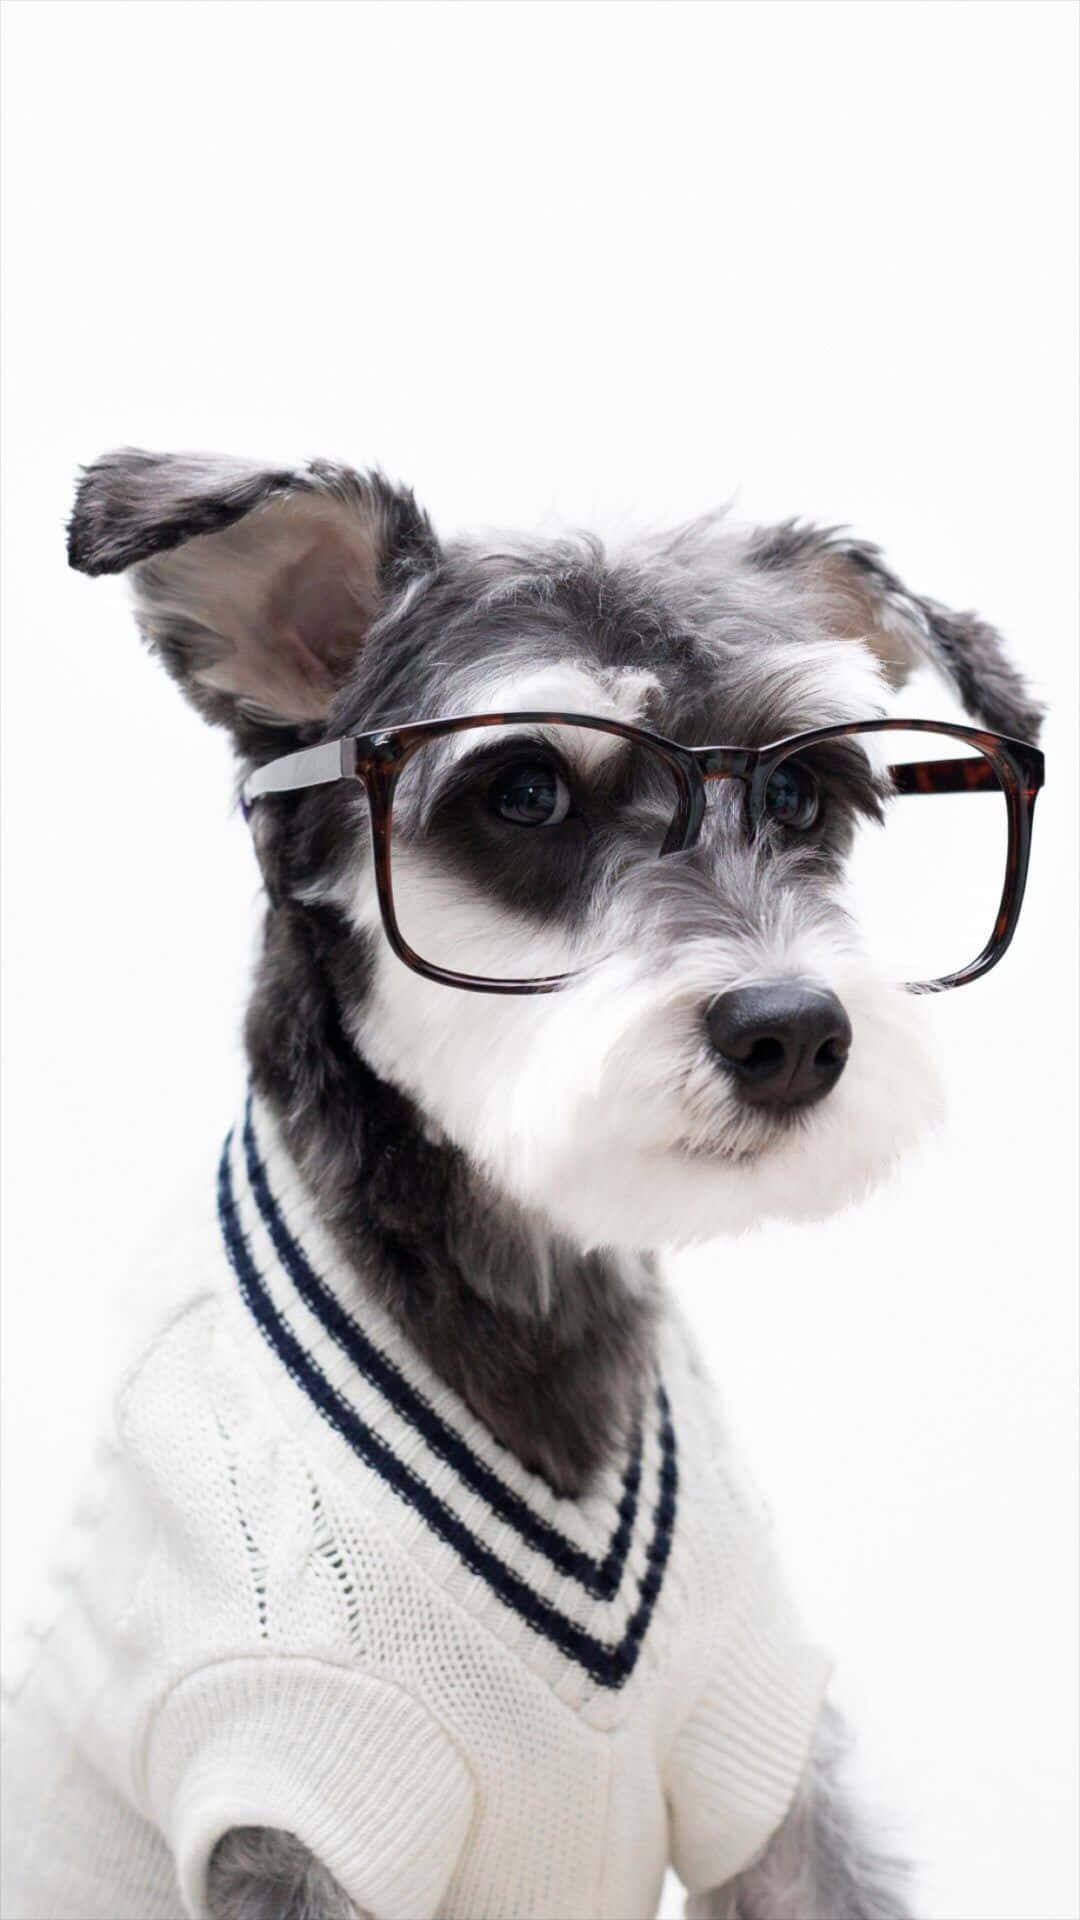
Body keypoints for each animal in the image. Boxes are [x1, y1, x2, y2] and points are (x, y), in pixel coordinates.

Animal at [2, 449, 1045, 1920]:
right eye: (526, 792)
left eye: (802, 797)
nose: (792, 1033)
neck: (533, 1295)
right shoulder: (285, 1793)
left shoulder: (768, 1767)